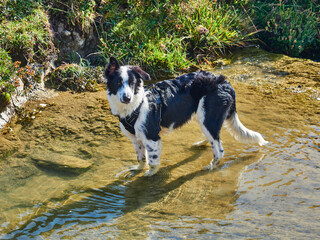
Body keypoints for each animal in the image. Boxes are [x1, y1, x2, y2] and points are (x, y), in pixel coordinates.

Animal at [104, 56, 266, 176]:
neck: (134, 106)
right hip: (203, 118)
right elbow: (141, 159)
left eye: (132, 83)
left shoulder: (152, 138)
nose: (127, 98)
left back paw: (210, 167)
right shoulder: (136, 139)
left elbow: (153, 162)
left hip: (208, 118)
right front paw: (138, 170)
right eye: (118, 82)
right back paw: (201, 144)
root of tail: (225, 83)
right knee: (213, 139)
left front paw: (149, 175)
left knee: (219, 150)